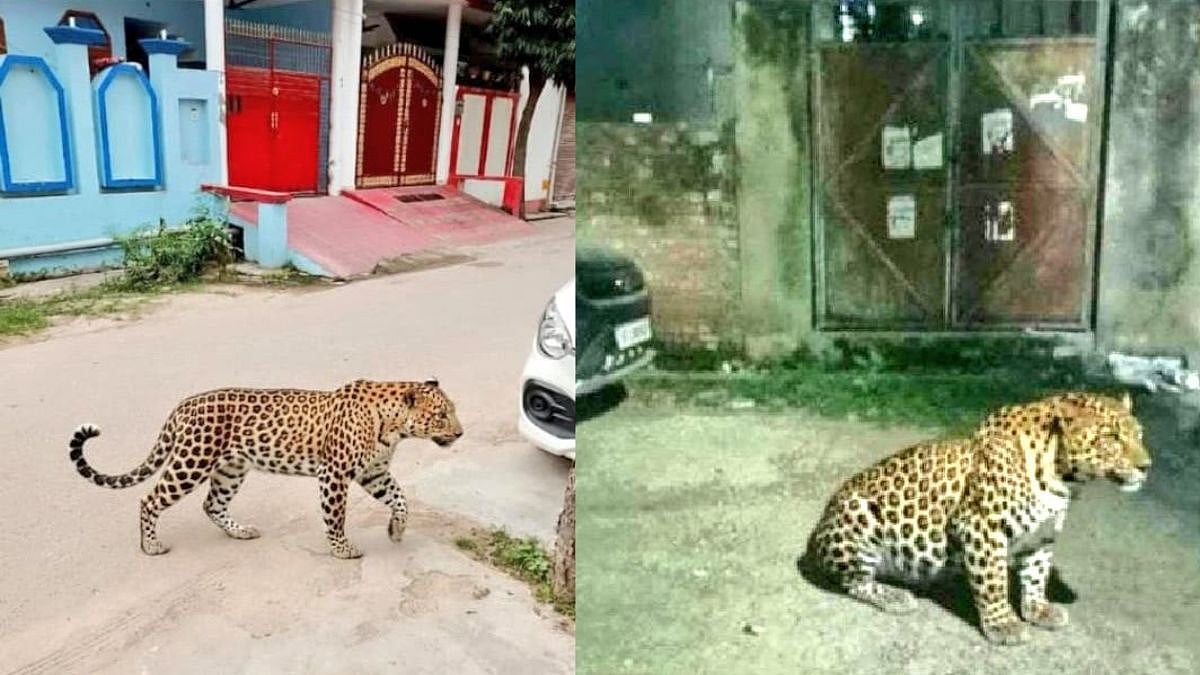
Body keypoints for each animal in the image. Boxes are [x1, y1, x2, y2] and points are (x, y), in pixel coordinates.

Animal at [69, 378, 463, 559]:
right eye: (441, 414)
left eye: (452, 411)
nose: (460, 433)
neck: (394, 426)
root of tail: (183, 405)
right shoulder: (335, 474)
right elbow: (336, 516)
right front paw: (342, 549)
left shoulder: (374, 473)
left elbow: (401, 499)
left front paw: (396, 530)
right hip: (191, 462)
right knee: (150, 500)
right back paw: (150, 545)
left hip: (231, 468)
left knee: (212, 504)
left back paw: (240, 532)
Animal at [805, 391, 1150, 645]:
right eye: (1112, 438)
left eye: (1139, 435)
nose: (1147, 466)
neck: (1063, 477)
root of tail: (814, 536)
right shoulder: (982, 526)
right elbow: (994, 582)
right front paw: (1003, 625)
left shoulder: (1041, 535)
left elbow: (1036, 575)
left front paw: (1037, 610)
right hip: (856, 517)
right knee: (854, 582)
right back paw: (894, 597)